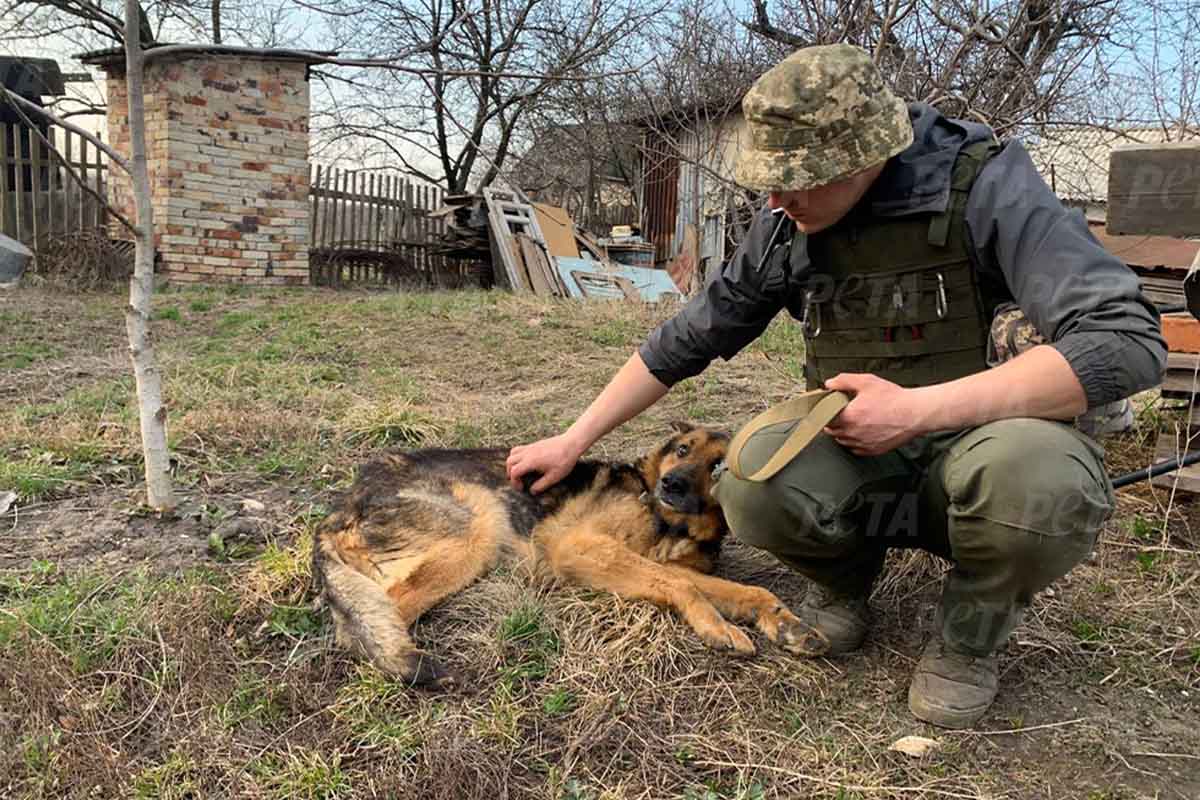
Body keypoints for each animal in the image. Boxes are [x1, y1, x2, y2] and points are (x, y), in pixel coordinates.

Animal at [314, 422, 820, 686]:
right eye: (682, 449)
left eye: (717, 466)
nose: (671, 484)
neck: (672, 522)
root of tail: (340, 506)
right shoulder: (583, 548)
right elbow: (679, 583)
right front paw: (716, 626)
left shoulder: (655, 562)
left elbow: (747, 591)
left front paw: (789, 625)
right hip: (478, 527)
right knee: (373, 618)